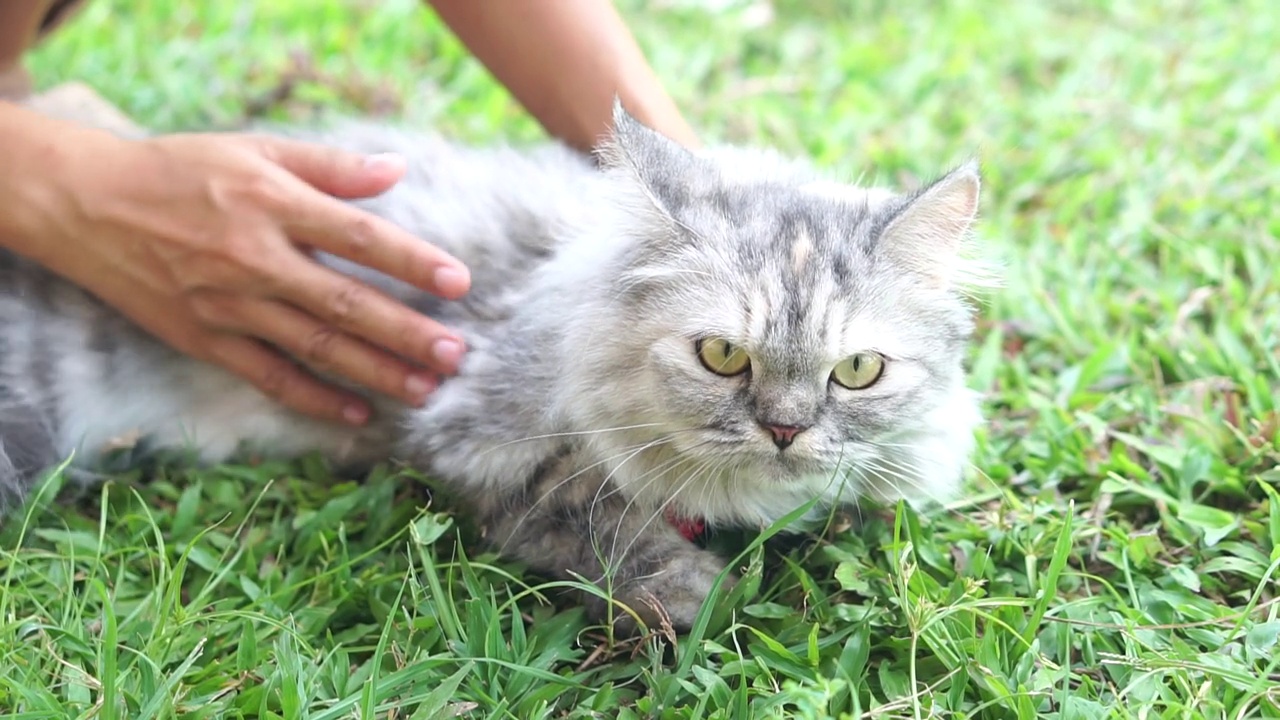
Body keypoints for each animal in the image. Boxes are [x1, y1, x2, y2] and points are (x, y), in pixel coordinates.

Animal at [0, 103, 988, 630]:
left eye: (856, 371)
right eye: (721, 356)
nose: (784, 430)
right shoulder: (481, 435)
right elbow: (602, 526)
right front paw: (695, 596)